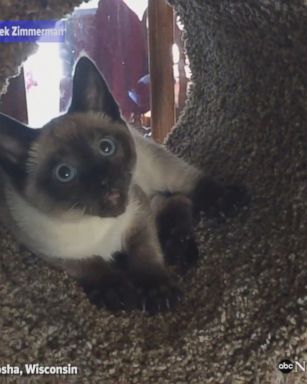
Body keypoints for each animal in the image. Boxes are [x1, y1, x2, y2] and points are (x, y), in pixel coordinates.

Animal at [0, 57, 248, 316]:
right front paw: (115, 291)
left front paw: (158, 292)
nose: (104, 180)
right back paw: (176, 244)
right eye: (64, 173)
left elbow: (145, 255)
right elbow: (90, 265)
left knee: (185, 188)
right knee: (172, 201)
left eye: (106, 147)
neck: (93, 225)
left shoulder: (139, 214)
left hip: (155, 169)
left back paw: (219, 207)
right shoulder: (47, 249)